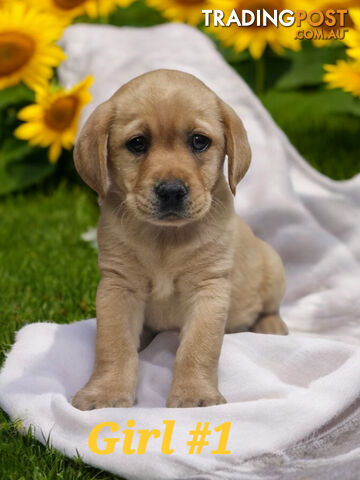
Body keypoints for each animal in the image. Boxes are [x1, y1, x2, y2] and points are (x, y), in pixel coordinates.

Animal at [73, 69, 286, 410]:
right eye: (137, 144)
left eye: (199, 141)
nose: (172, 191)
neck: (165, 239)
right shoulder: (118, 285)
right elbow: (113, 344)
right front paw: (105, 393)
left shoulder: (208, 288)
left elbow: (198, 348)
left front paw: (194, 395)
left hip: (273, 266)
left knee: (269, 308)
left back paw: (272, 328)